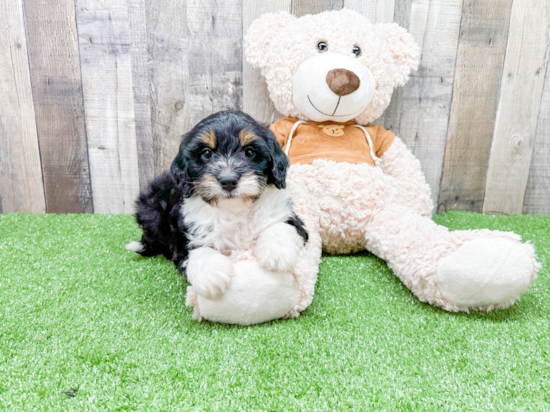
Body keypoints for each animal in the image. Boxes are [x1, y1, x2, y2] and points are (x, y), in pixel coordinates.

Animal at [127, 109, 308, 302]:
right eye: (206, 153)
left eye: (249, 152)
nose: (228, 181)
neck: (234, 209)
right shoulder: (186, 231)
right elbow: (193, 249)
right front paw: (211, 275)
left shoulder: (291, 218)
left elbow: (281, 226)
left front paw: (277, 253)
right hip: (151, 208)